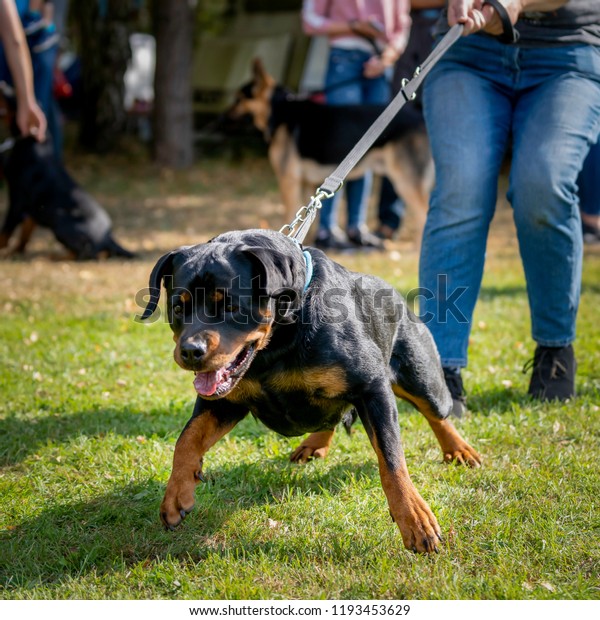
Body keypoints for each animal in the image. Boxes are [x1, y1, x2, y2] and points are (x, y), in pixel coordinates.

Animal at [0, 136, 134, 260]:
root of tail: (107, 236)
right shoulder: (32, 211)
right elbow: (25, 233)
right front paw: (16, 251)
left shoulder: (17, 204)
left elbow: (5, 232)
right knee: (99, 254)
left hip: (60, 221)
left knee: (84, 254)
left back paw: (53, 257)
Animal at [142, 228, 482, 552]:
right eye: (177, 308)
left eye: (230, 306)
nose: (190, 351)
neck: (277, 342)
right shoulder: (223, 402)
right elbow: (187, 439)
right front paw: (176, 494)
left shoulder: (371, 387)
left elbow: (392, 459)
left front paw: (414, 519)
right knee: (330, 415)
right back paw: (314, 442)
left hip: (420, 375)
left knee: (436, 412)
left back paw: (459, 450)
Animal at [225, 59, 432, 237]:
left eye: (238, 99)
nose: (223, 117)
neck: (279, 109)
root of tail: (420, 117)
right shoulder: (307, 184)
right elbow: (306, 225)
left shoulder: (288, 181)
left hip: (406, 183)